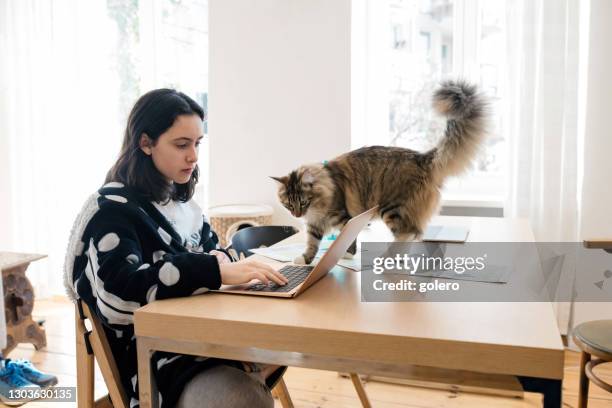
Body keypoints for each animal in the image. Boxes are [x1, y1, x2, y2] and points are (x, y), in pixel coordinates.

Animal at [272, 80, 488, 264]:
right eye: (288, 204)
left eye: (302, 202)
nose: (297, 215)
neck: (318, 202)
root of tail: (421, 157)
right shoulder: (315, 225)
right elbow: (312, 244)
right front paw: (305, 260)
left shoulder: (343, 218)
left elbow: (347, 241)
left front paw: (345, 256)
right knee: (415, 233)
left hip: (392, 207)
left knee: (408, 233)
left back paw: (388, 258)